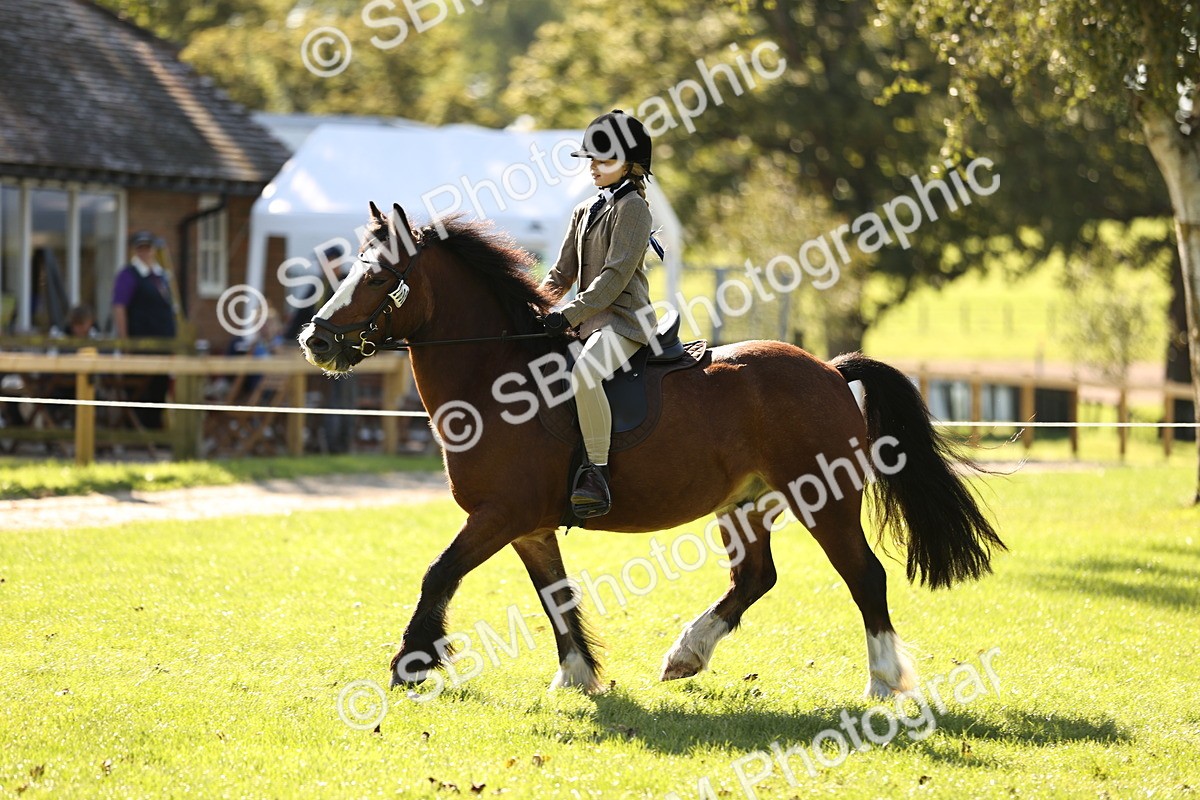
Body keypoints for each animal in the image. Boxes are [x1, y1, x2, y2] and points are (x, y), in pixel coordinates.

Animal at [299, 202, 1005, 698]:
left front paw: (410, 663)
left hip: (823, 501)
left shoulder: (498, 516)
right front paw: (578, 676)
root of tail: (829, 370)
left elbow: (438, 573)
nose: (317, 339)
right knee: (755, 577)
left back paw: (883, 681)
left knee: (865, 577)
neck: (496, 380)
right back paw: (686, 654)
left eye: (379, 275)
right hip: (745, 504)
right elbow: (555, 598)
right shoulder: (527, 527)